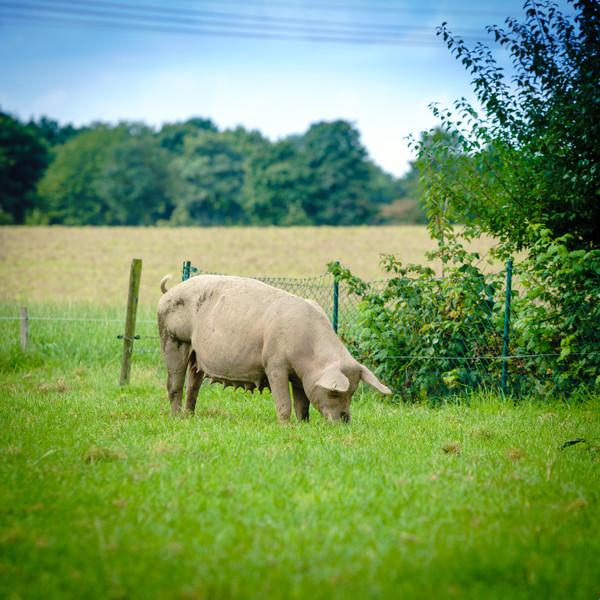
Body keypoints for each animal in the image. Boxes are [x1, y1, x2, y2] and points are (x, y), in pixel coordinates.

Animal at [156, 274, 390, 422]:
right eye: (334, 392)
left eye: (353, 392)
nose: (345, 421)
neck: (309, 354)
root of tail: (169, 292)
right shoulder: (275, 364)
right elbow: (284, 401)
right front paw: (286, 426)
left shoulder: (301, 376)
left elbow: (302, 404)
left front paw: (303, 424)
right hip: (173, 339)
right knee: (174, 383)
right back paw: (176, 418)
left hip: (196, 354)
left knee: (192, 386)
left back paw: (190, 416)